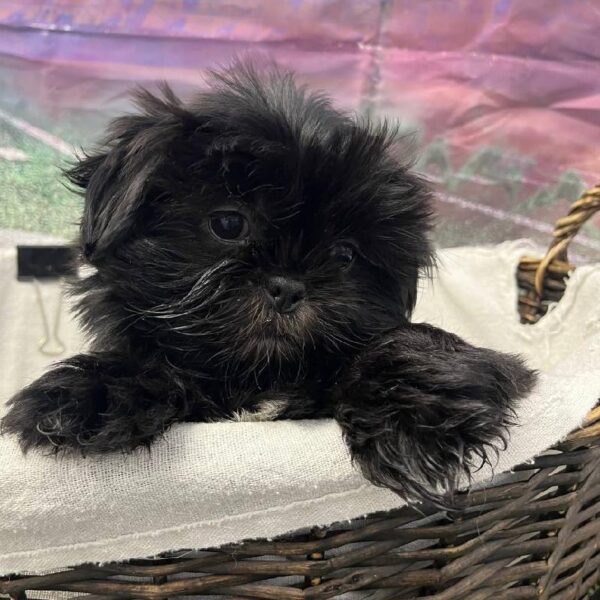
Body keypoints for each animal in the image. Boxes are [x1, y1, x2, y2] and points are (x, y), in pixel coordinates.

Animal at [0, 63, 536, 504]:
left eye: (345, 255)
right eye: (229, 224)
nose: (288, 286)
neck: (260, 377)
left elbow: (406, 341)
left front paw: (418, 415)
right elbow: (150, 360)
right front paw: (93, 395)